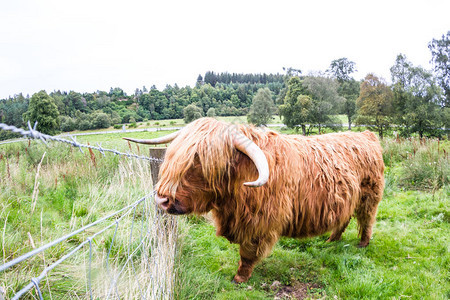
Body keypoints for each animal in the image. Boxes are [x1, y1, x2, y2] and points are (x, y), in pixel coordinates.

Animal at [125, 118, 384, 284]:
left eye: (199, 163)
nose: (161, 199)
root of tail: (366, 135)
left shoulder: (259, 223)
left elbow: (247, 253)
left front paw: (239, 278)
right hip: (348, 197)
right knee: (344, 218)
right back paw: (332, 240)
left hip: (369, 195)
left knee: (366, 219)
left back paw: (362, 244)